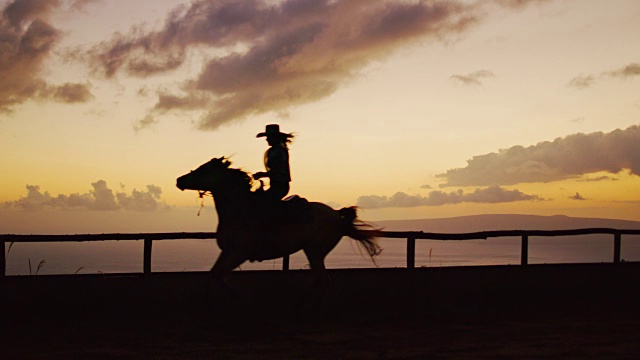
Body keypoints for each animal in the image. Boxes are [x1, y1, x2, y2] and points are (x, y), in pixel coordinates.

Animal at [175, 158, 382, 290]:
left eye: (204, 170)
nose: (179, 180)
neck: (240, 209)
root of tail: (336, 214)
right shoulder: (227, 252)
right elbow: (214, 276)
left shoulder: (238, 254)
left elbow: (219, 277)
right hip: (312, 252)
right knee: (318, 279)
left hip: (316, 251)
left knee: (322, 280)